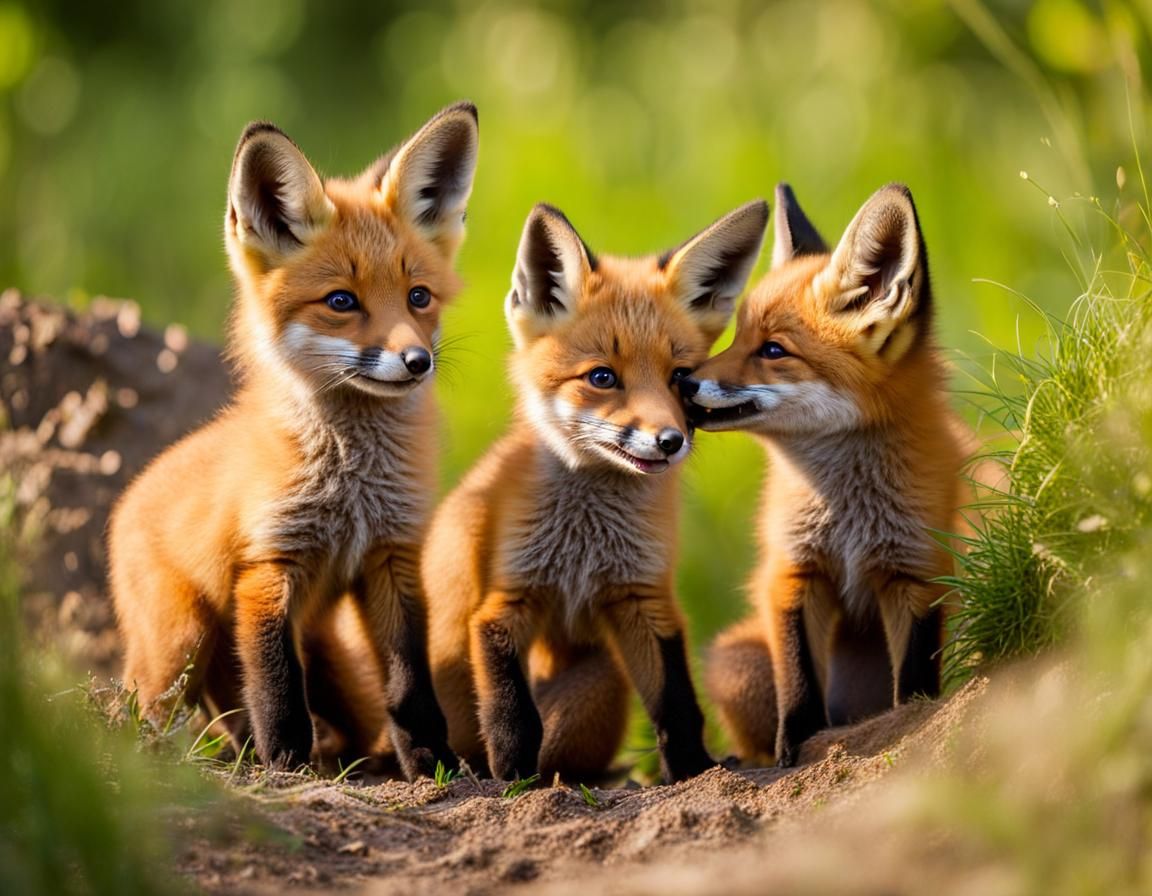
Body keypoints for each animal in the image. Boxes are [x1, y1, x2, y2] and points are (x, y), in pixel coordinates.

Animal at [108, 102, 479, 776]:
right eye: (342, 301)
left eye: (418, 297)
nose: (416, 362)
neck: (351, 483)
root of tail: (126, 498)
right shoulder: (267, 566)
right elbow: (277, 683)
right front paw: (285, 765)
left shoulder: (392, 557)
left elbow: (411, 683)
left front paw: (433, 764)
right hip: (181, 645)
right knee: (148, 710)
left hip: (330, 660)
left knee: (331, 716)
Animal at [422, 199, 769, 782]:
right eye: (603, 377)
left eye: (681, 378)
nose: (670, 441)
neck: (584, 540)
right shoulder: (504, 602)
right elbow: (511, 712)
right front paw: (516, 782)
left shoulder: (645, 597)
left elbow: (678, 703)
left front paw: (695, 771)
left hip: (602, 679)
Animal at [684, 183, 973, 767]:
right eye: (735, 337)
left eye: (772, 350)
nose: (679, 381)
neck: (849, 515)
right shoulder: (792, 571)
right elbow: (798, 683)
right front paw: (793, 754)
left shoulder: (916, 572)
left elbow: (914, 680)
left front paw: (909, 728)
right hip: (737, 663)